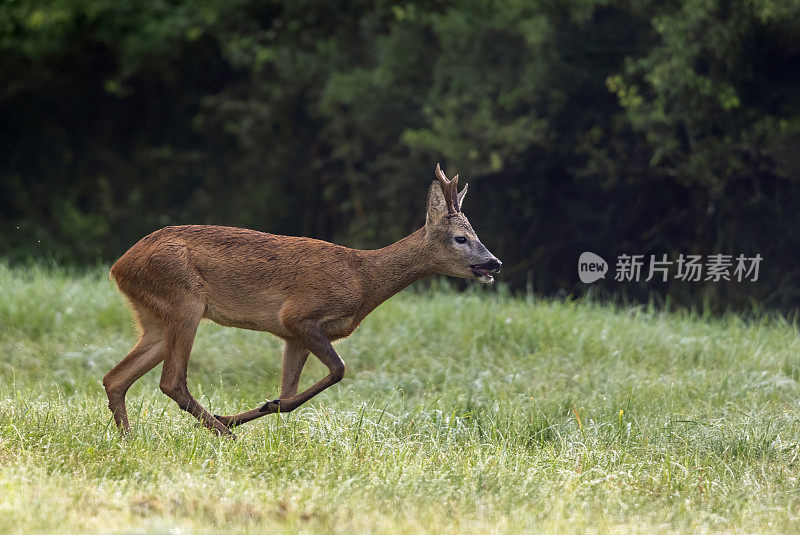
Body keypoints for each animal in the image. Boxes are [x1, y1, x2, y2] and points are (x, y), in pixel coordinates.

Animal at [101, 165, 500, 438]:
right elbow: (338, 370)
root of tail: (119, 266)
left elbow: (290, 393)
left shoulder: (293, 336)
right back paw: (222, 432)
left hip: (154, 317)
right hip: (184, 301)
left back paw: (130, 438)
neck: (363, 280)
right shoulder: (299, 316)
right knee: (171, 381)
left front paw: (266, 405)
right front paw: (238, 415)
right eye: (462, 238)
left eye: (477, 234)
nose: (494, 262)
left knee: (115, 378)